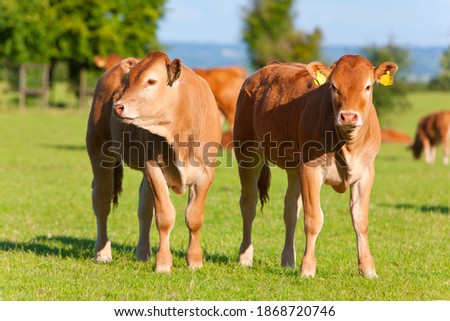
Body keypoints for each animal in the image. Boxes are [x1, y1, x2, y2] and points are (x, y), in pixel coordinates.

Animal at [85, 50, 222, 272]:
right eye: (128, 81)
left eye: (151, 81)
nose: (118, 106)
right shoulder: (154, 168)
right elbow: (165, 217)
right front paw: (163, 263)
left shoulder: (206, 173)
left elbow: (194, 217)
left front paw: (195, 260)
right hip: (98, 150)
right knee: (102, 202)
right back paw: (103, 252)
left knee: (144, 208)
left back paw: (142, 253)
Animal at [234, 55, 400, 278]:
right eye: (333, 86)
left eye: (368, 86)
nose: (348, 116)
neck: (347, 144)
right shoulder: (310, 169)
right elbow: (313, 219)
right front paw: (308, 268)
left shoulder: (365, 173)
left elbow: (360, 220)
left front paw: (368, 269)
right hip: (247, 153)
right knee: (248, 204)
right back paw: (245, 257)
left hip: (293, 168)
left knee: (290, 210)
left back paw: (288, 260)